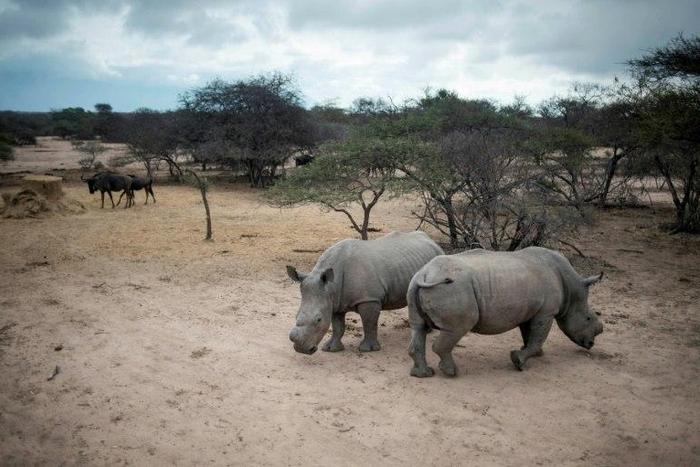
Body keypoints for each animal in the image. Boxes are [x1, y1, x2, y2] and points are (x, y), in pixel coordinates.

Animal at [287, 231, 444, 354]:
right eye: (296, 315)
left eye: (318, 319)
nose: (300, 349)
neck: (331, 286)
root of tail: (433, 241)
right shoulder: (335, 301)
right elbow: (338, 326)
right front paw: (331, 349)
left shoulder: (369, 299)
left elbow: (369, 323)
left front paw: (368, 349)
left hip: (436, 264)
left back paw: (428, 332)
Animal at [407, 247, 604, 377]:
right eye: (588, 318)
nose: (591, 344)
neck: (571, 288)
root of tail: (424, 275)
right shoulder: (546, 312)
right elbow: (537, 337)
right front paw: (518, 361)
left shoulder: (532, 311)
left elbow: (529, 335)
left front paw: (535, 354)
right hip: (451, 289)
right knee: (458, 327)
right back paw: (451, 372)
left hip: (415, 284)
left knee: (418, 327)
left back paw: (423, 374)